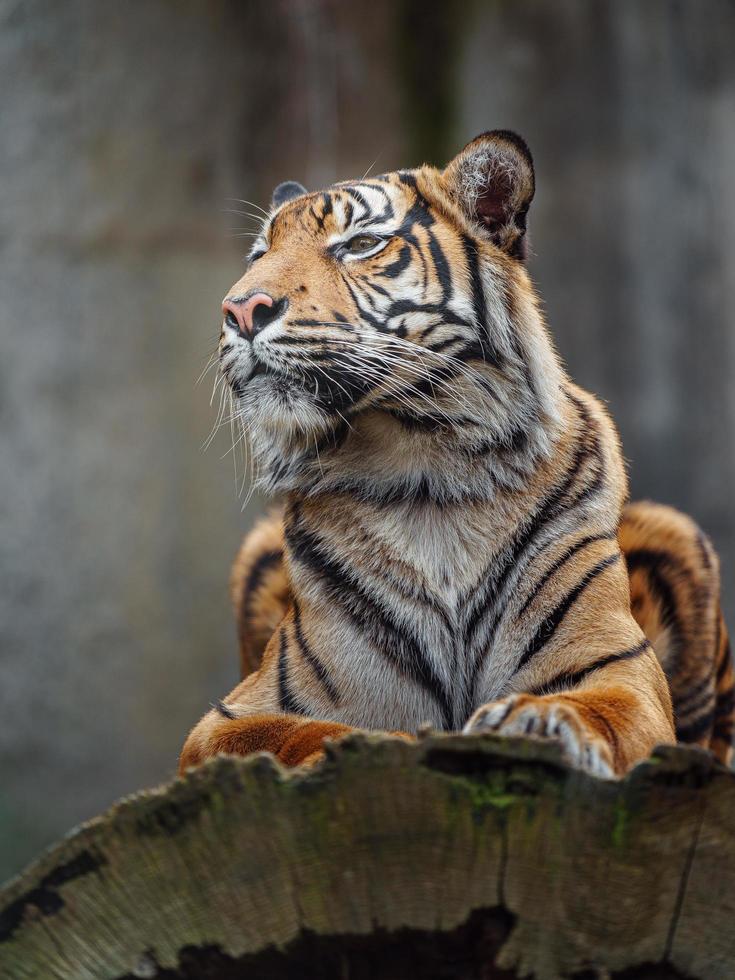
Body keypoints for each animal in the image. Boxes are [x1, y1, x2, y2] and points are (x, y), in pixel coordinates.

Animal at [180, 130, 735, 776]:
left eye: (361, 244)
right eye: (258, 255)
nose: (240, 310)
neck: (422, 465)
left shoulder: (621, 675)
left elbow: (598, 707)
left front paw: (538, 720)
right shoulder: (227, 719)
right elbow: (297, 733)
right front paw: (386, 745)